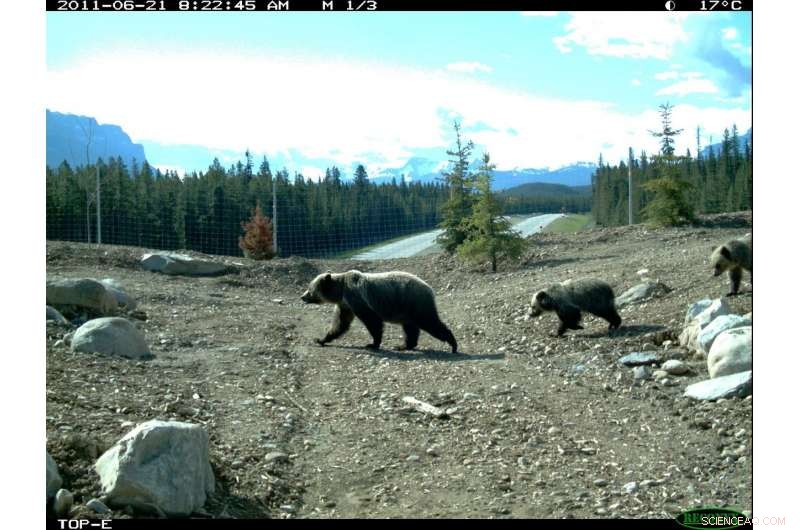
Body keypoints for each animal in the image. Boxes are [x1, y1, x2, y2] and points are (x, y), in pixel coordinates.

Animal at [300, 270, 458, 353]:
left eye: (309, 289)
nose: (302, 296)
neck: (341, 292)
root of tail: (429, 288)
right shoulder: (345, 305)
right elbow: (340, 324)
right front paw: (321, 339)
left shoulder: (357, 298)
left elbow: (372, 321)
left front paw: (372, 344)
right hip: (406, 311)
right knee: (410, 328)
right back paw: (403, 345)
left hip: (415, 303)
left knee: (430, 322)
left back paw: (453, 344)